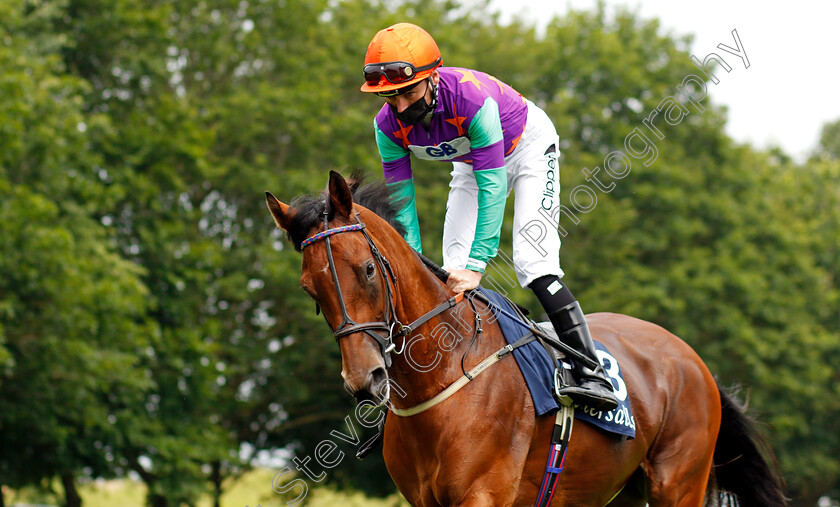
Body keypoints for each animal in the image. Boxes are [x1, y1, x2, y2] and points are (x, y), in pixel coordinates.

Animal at [268, 172, 788, 507]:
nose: (365, 379)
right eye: (310, 290)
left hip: (679, 482)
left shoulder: (482, 495)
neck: (441, 380)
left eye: (368, 270)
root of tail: (692, 360)